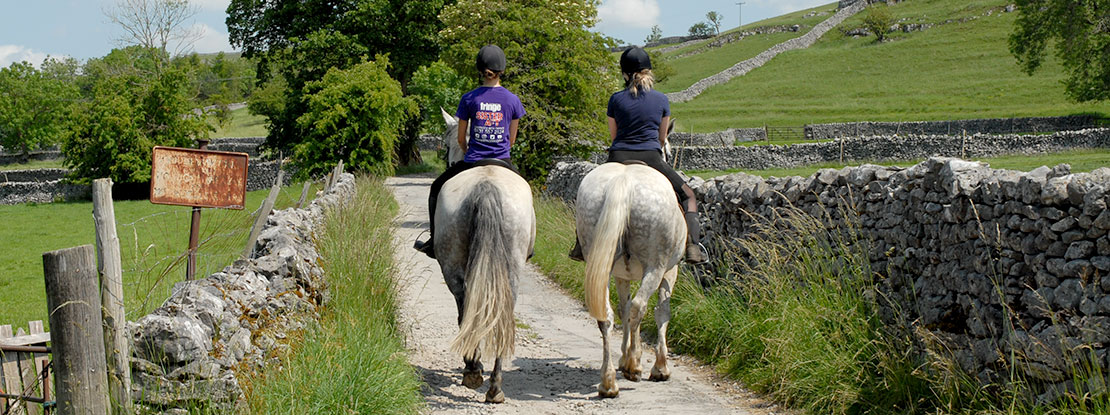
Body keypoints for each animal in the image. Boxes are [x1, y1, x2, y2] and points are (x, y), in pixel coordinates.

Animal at [430, 107, 535, 401]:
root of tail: (486, 187)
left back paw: (474, 371)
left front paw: (473, 365)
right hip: (510, 268)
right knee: (500, 312)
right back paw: (494, 387)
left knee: (465, 309)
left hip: (452, 268)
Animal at [572, 160, 683, 397]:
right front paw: (659, 366)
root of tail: (623, 180)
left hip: (602, 265)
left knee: (607, 315)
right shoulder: (670, 272)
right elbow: (661, 312)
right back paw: (634, 367)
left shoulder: (621, 275)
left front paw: (624, 357)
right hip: (655, 267)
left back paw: (608, 382)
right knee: (639, 307)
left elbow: (624, 310)